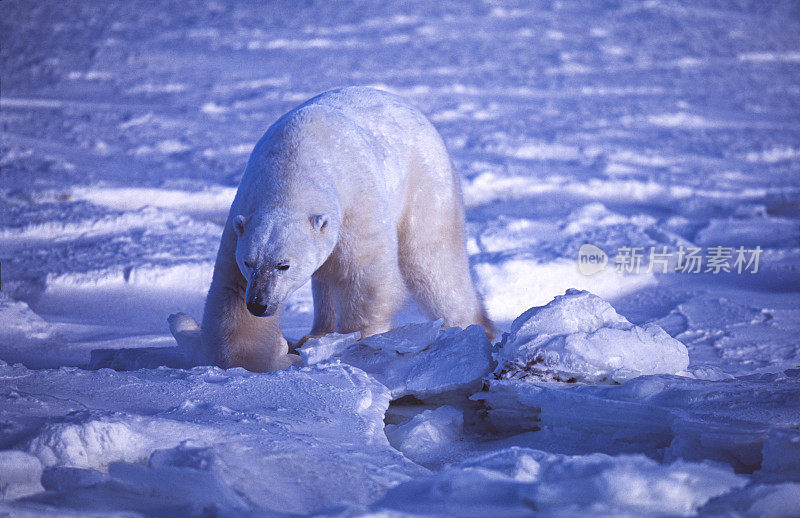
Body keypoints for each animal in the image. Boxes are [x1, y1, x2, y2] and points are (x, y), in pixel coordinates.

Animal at [170, 89, 494, 374]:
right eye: (249, 262)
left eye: (283, 265)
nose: (259, 304)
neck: (293, 164)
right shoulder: (243, 212)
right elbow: (231, 289)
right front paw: (258, 357)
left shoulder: (354, 199)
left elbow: (364, 275)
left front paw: (356, 345)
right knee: (326, 279)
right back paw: (315, 334)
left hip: (424, 184)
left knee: (433, 262)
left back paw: (469, 327)